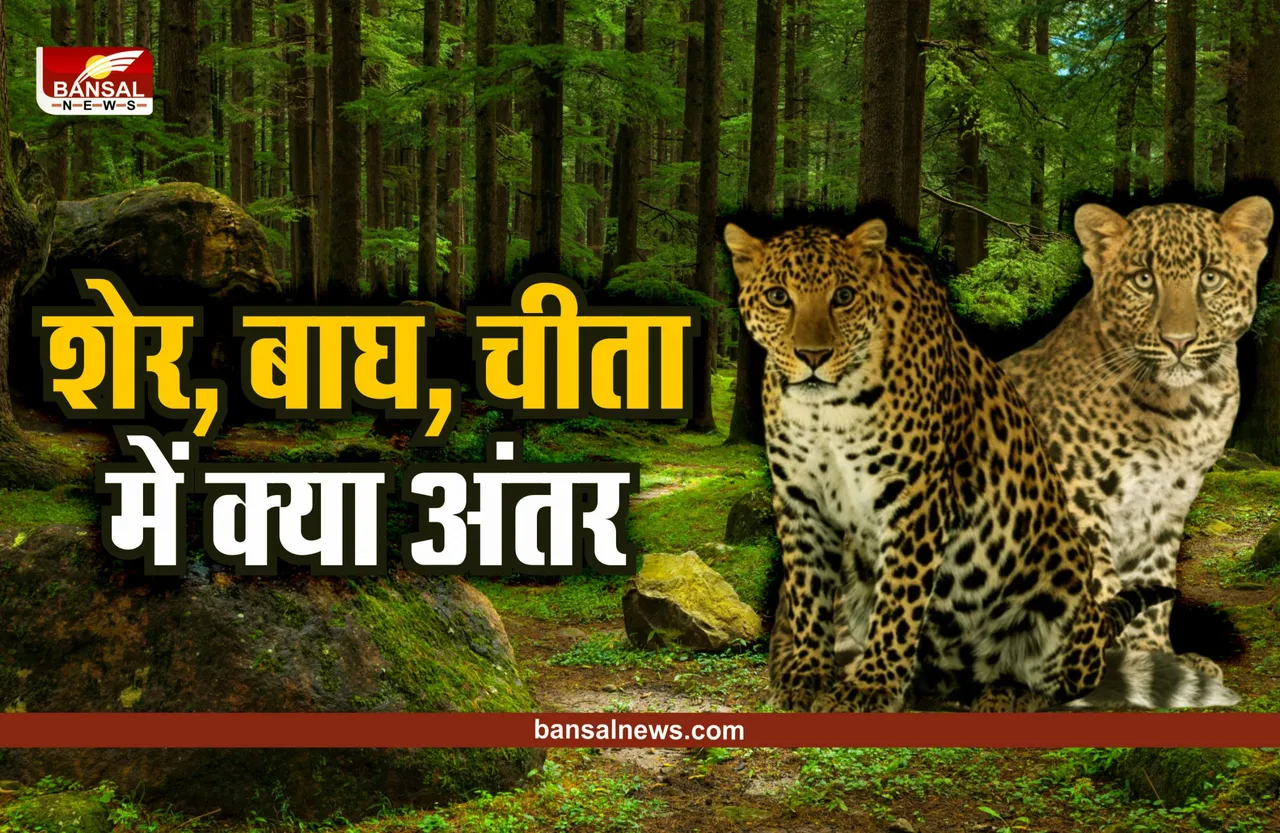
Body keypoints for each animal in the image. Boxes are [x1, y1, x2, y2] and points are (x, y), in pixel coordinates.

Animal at [725, 218, 1240, 713]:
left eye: (844, 296)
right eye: (778, 297)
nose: (813, 356)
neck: (826, 410)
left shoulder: (915, 500)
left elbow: (897, 604)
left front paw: (870, 688)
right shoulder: (799, 500)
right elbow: (808, 593)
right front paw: (805, 679)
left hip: (1062, 576)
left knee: (1068, 678)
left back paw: (1009, 693)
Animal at [1000, 198, 1273, 682]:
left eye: (1210, 277)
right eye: (1143, 280)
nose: (1179, 341)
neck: (1187, 408)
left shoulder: (1166, 502)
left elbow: (1153, 581)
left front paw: (1157, 657)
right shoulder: (1077, 497)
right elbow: (1102, 585)